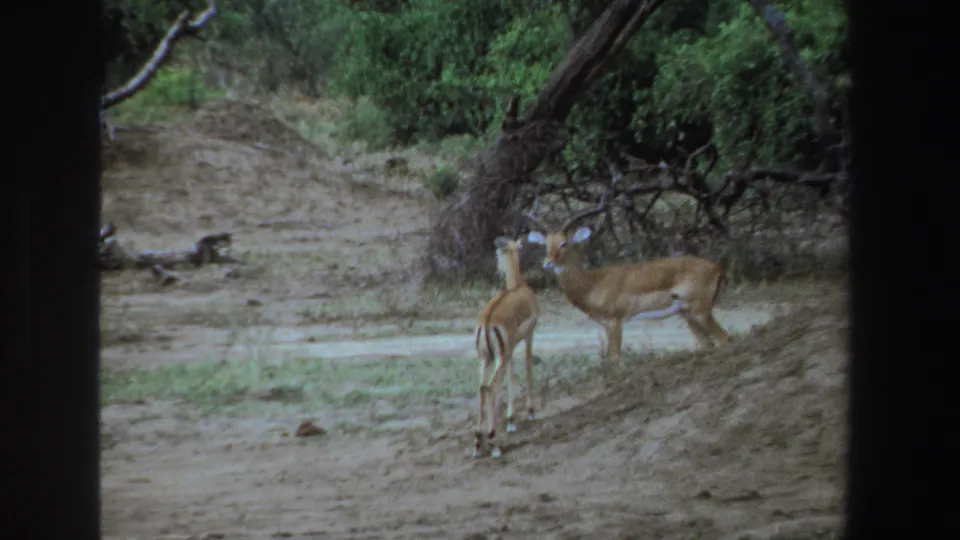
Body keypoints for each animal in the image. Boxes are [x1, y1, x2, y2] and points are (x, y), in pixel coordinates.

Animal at [472, 235, 539, 458]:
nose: (497, 272)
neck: (519, 287)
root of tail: (486, 322)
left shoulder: (510, 350)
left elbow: (511, 375)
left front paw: (511, 420)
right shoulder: (528, 337)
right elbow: (527, 366)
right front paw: (531, 412)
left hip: (487, 358)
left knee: (482, 388)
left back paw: (478, 443)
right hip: (498, 358)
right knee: (490, 388)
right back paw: (493, 442)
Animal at [524, 193, 730, 367]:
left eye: (564, 243)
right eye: (545, 244)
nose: (548, 263)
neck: (592, 283)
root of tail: (717, 267)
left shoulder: (615, 323)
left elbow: (613, 360)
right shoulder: (606, 325)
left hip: (700, 312)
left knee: (725, 339)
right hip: (688, 315)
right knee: (707, 344)